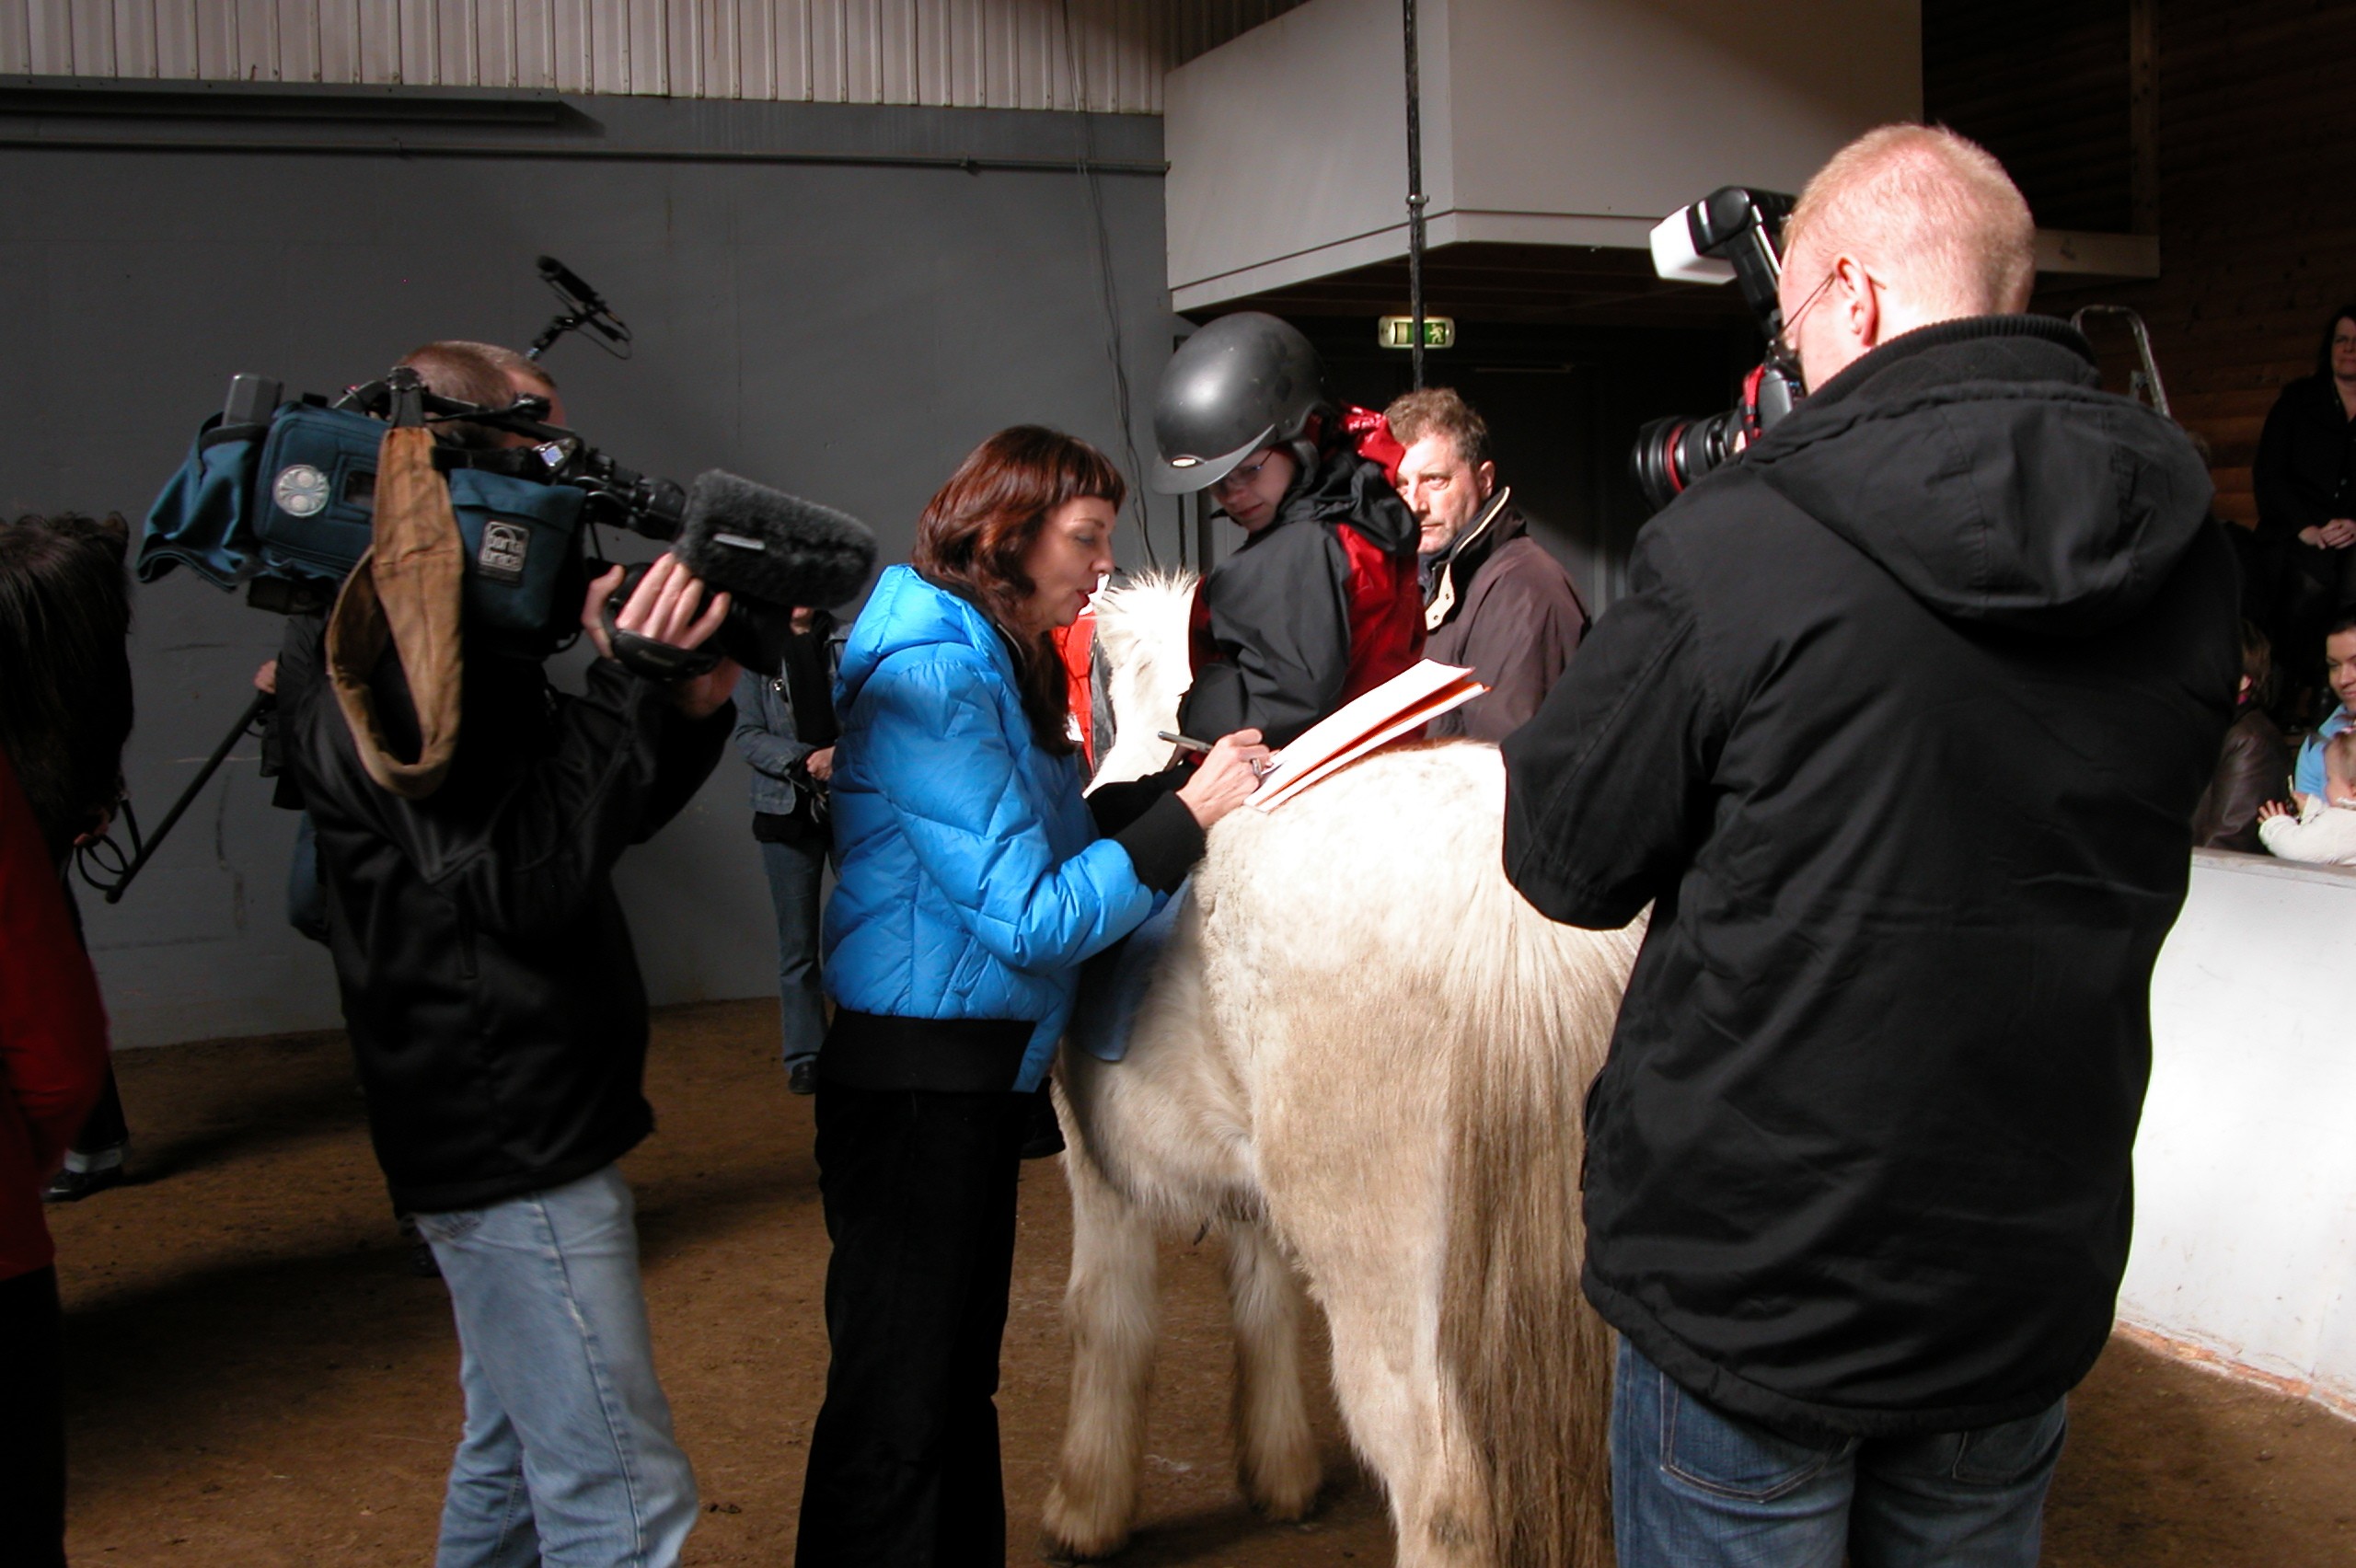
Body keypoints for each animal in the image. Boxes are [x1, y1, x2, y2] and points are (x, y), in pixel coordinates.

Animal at [1045, 574, 1639, 1562]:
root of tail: (1518, 911)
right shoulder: (1253, 1199)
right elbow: (1263, 1305)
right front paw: (1281, 1476)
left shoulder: (1098, 1175)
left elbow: (1105, 1317)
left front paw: (1085, 1510)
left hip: (1396, 1305)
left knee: (1444, 1498)